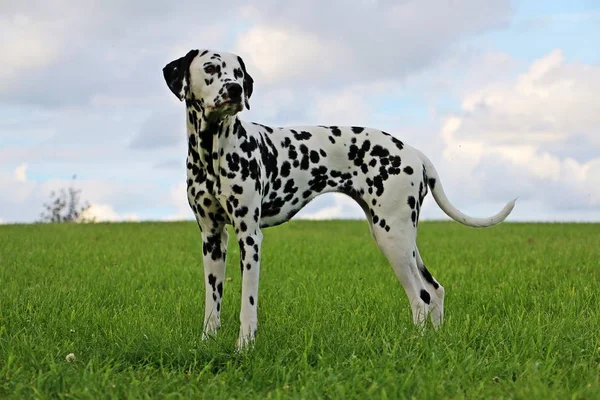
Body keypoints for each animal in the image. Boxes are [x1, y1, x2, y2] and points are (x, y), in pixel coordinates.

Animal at [163, 49, 516, 350]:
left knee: (421, 298)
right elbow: (212, 302)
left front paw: (244, 347)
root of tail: (414, 152)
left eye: (238, 72)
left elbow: (247, 304)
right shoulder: (212, 238)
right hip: (400, 237)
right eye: (211, 68)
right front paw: (206, 342)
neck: (213, 151)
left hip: (392, 238)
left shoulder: (249, 237)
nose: (236, 89)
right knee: (435, 290)